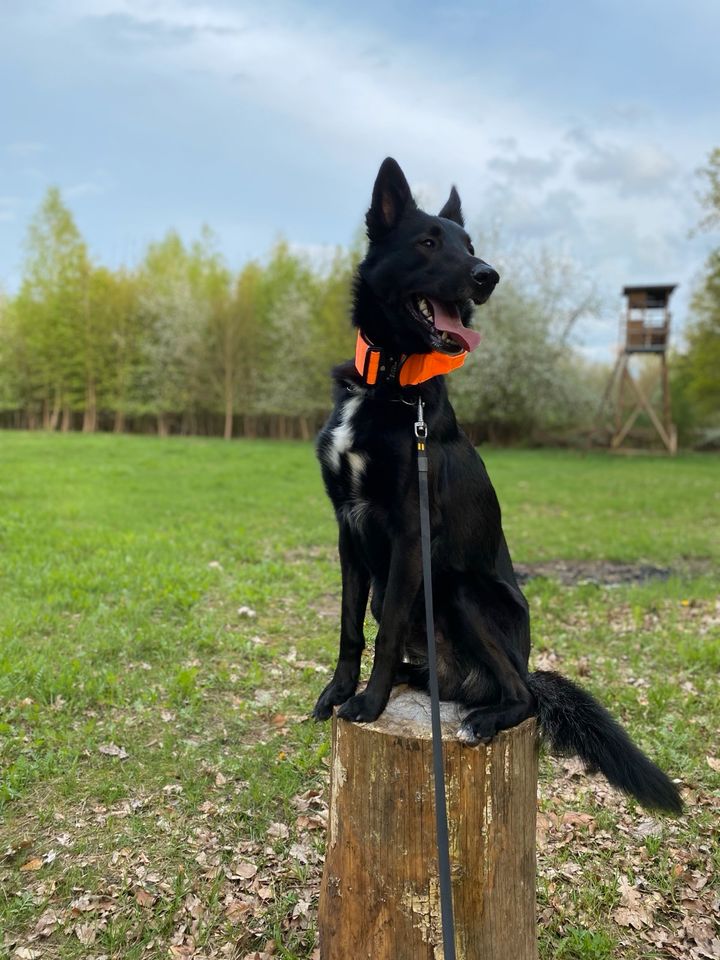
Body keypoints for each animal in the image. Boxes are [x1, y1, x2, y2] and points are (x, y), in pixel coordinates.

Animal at [314, 154, 680, 812]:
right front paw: (338, 692)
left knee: (522, 696)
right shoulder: (346, 529)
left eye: (470, 246)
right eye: (428, 243)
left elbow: (384, 634)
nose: (488, 276)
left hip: (459, 590)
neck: (389, 384)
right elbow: (352, 626)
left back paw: (482, 717)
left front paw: (369, 704)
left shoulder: (409, 533)